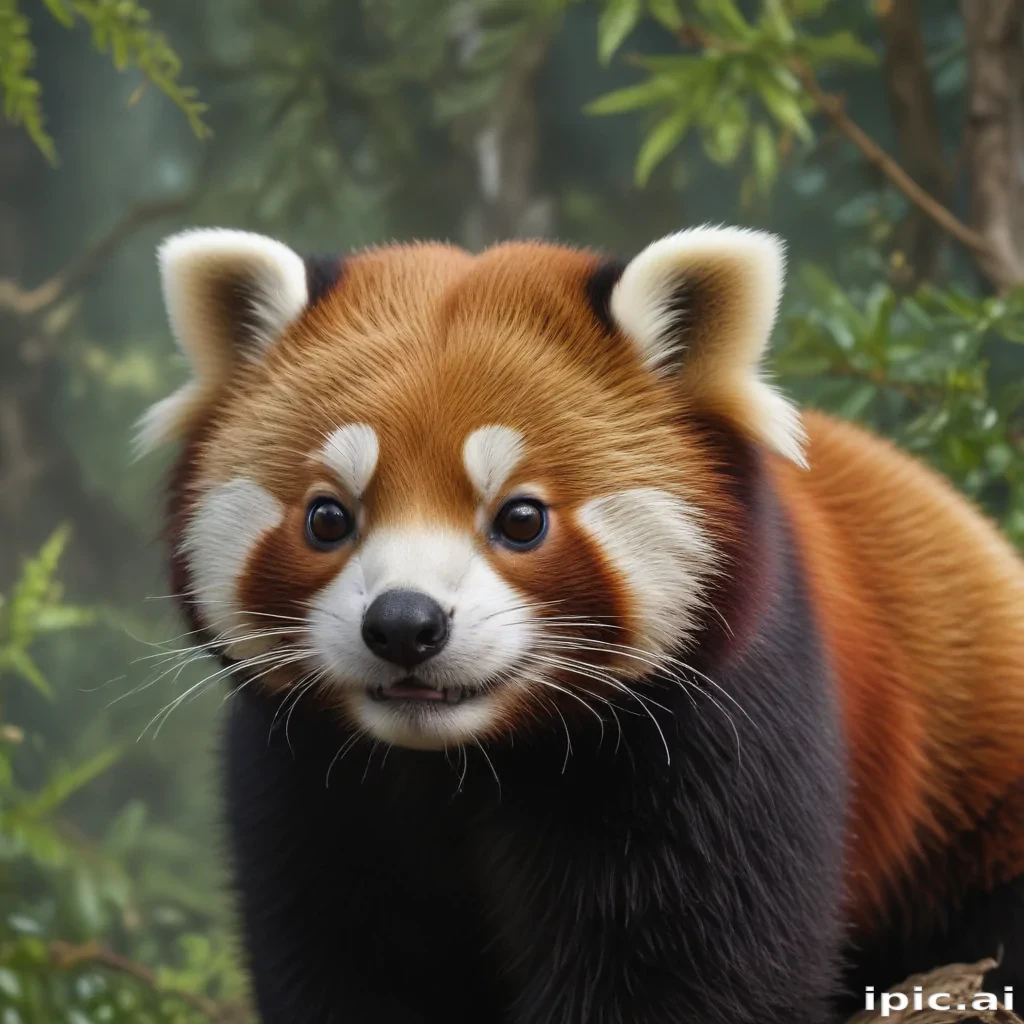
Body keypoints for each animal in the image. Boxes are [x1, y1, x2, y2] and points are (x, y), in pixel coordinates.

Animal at [139, 225, 1024, 1023]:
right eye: (328, 517)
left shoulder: (725, 734)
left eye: (521, 518)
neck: (468, 761)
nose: (403, 625)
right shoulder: (305, 777)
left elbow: (699, 971)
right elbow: (339, 955)